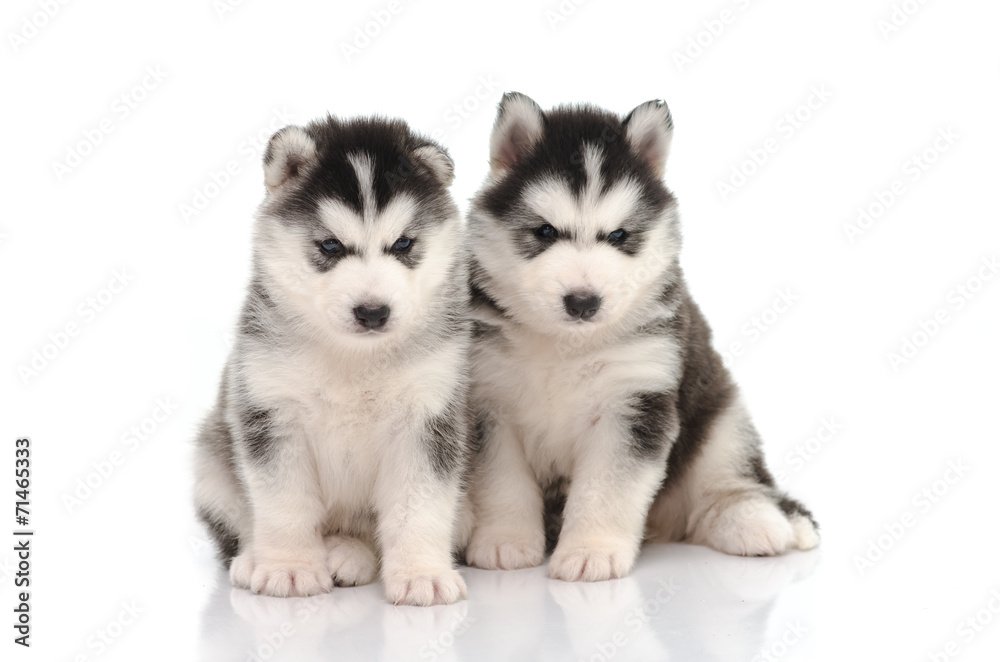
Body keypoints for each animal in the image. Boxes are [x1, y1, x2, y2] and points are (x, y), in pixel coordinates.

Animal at [193, 115, 470, 608]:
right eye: (329, 246)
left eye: (403, 244)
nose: (373, 312)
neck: (354, 359)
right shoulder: (271, 409)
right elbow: (284, 502)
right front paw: (288, 567)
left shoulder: (428, 416)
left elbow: (420, 504)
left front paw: (423, 574)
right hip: (209, 460)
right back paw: (257, 558)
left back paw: (348, 553)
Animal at [464, 96, 816, 584]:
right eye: (546, 232)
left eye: (618, 236)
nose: (583, 301)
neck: (565, 344)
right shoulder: (489, 401)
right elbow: (502, 483)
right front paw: (505, 542)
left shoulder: (634, 401)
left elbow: (606, 487)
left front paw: (591, 550)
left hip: (722, 415)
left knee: (729, 479)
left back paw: (754, 520)